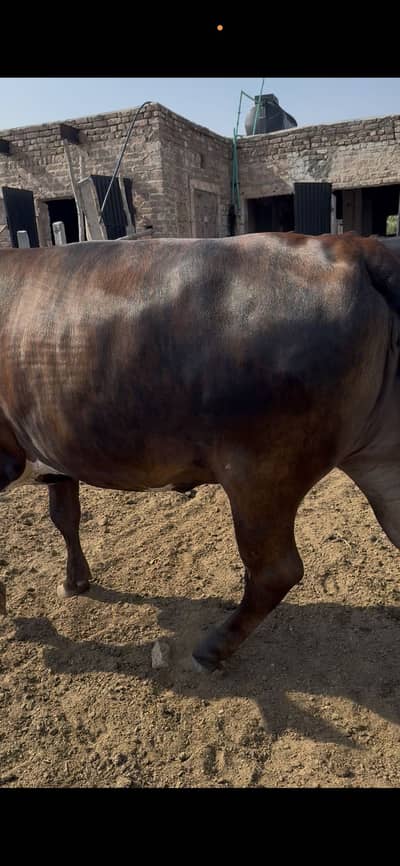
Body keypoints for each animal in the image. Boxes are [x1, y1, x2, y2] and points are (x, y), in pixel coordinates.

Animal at [0, 232, 400, 672]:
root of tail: (353, 246)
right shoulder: (56, 442)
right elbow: (64, 515)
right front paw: (75, 581)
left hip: (261, 473)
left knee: (275, 571)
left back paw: (212, 648)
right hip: (377, 459)